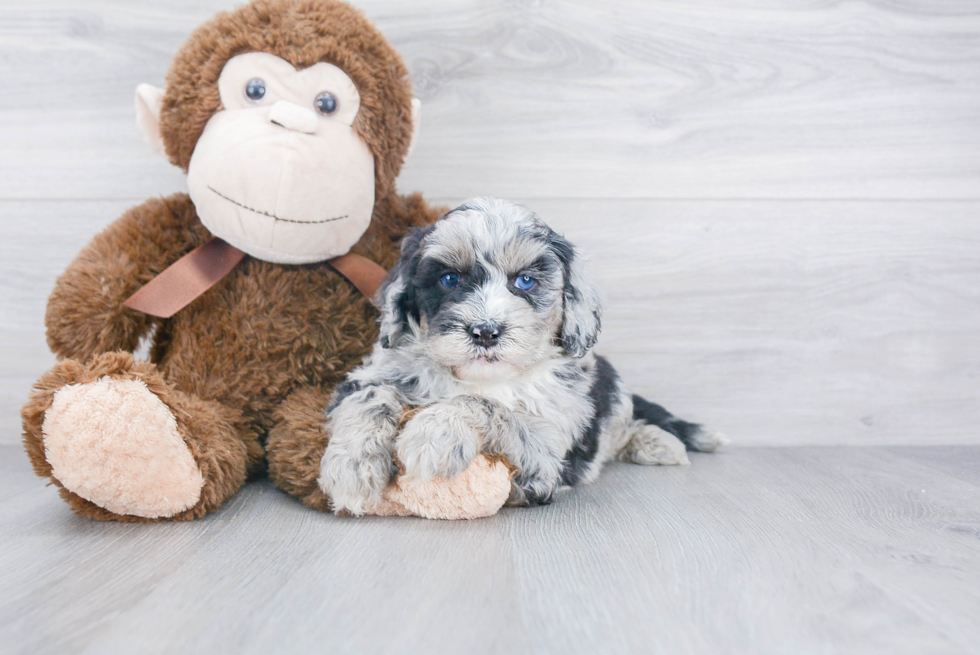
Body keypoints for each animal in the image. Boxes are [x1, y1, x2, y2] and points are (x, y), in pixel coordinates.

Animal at [318, 197, 724, 516]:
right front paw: (353, 467)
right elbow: (373, 396)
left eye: (525, 281)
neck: (484, 377)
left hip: (613, 398)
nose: (485, 331)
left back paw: (657, 443)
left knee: (627, 424)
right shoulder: (371, 375)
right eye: (449, 279)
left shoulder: (546, 460)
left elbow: (484, 405)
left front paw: (435, 434)